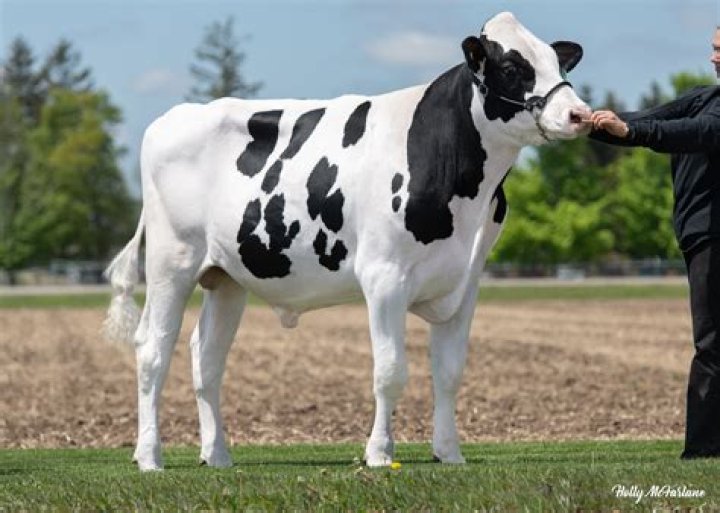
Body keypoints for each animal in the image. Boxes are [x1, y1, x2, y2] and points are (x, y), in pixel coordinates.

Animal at [103, 11, 591, 471]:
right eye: (511, 67)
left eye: (556, 61)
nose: (579, 114)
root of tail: (176, 116)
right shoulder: (384, 276)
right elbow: (390, 371)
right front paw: (378, 454)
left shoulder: (464, 282)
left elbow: (450, 372)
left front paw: (449, 453)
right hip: (172, 261)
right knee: (152, 350)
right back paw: (149, 456)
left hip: (225, 277)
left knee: (206, 358)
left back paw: (216, 454)